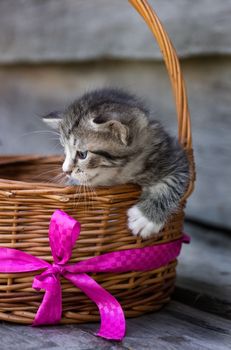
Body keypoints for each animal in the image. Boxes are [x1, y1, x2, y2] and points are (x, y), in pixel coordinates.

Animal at [42, 89, 189, 239]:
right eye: (65, 151)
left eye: (82, 154)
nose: (65, 171)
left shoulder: (175, 156)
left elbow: (172, 182)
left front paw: (145, 219)